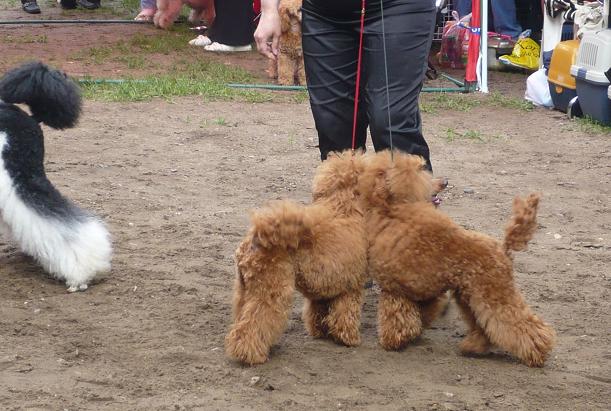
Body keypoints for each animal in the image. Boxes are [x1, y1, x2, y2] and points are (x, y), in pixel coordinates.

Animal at [225, 151, 368, 365]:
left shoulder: (325, 288)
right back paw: (252, 355)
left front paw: (320, 332)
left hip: (245, 289)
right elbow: (345, 315)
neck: (345, 208)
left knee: (241, 318)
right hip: (271, 290)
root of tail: (258, 237)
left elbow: (319, 312)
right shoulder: (351, 286)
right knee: (252, 325)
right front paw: (349, 339)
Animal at [357, 151, 555, 367]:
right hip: (469, 296)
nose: (445, 182)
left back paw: (538, 353)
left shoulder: (394, 289)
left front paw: (392, 342)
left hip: (495, 294)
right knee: (484, 327)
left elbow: (395, 318)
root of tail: (503, 248)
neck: (389, 211)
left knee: (521, 325)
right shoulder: (414, 290)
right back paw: (473, 347)